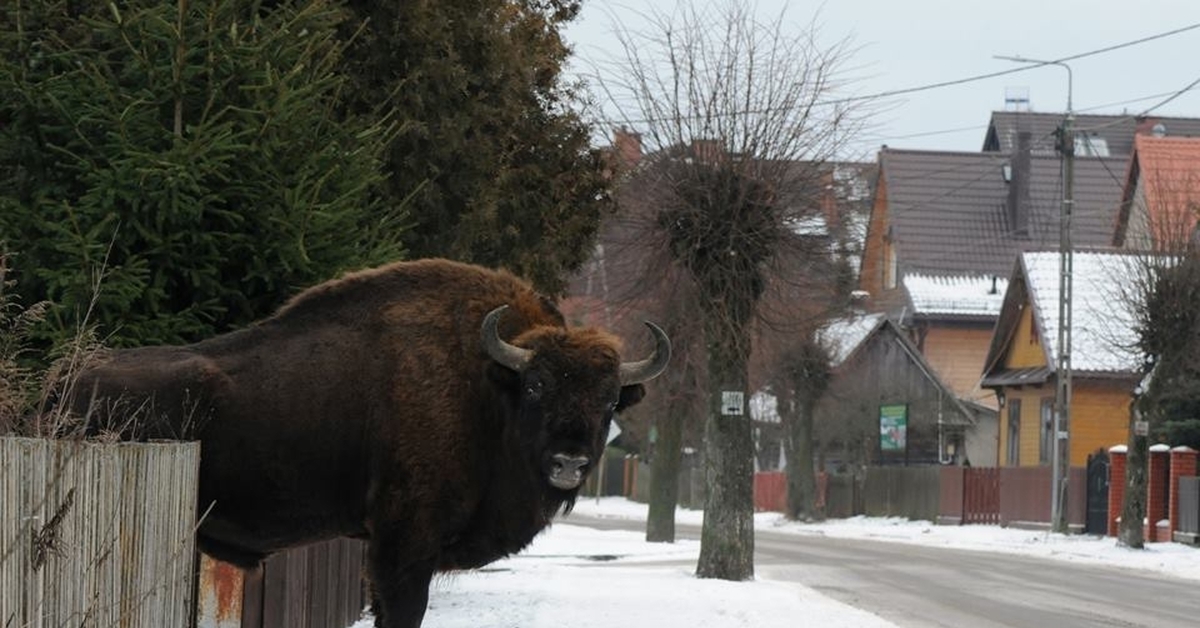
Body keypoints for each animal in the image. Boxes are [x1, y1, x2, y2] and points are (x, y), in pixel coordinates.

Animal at [75, 258, 672, 624]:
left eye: (608, 399)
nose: (569, 462)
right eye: (536, 386)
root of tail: (65, 382)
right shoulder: (403, 549)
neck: (486, 387)